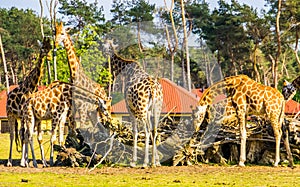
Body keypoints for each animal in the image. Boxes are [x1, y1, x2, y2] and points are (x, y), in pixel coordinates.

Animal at [5, 36, 51, 167]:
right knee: (13, 135)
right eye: (42, 48)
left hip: (20, 117)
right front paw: (25, 161)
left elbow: (37, 137)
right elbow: (24, 135)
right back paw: (10, 161)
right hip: (11, 115)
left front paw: (43, 162)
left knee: (22, 134)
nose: (49, 57)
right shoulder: (25, 115)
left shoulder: (34, 116)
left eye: (50, 47)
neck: (32, 86)